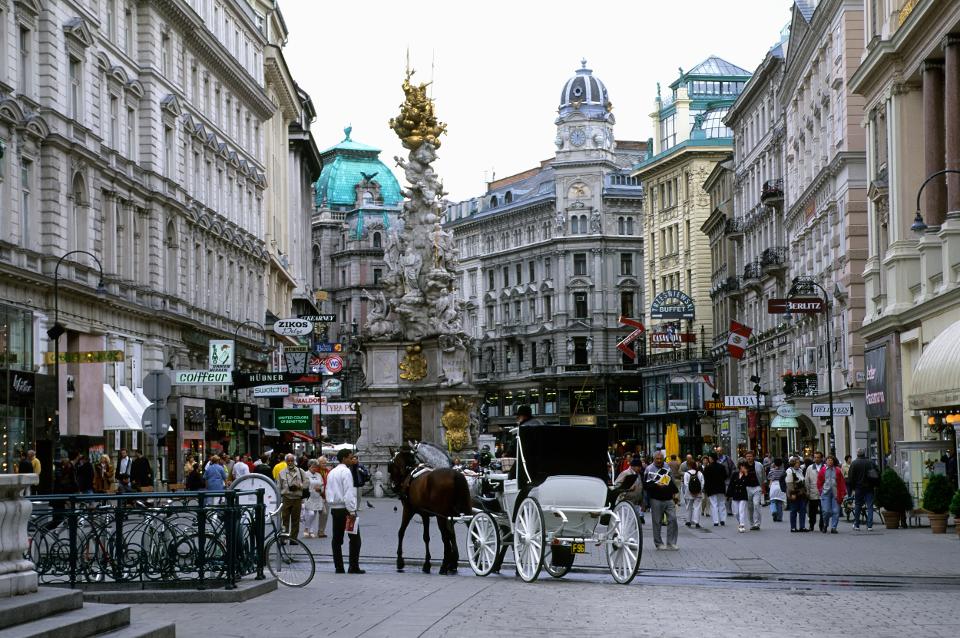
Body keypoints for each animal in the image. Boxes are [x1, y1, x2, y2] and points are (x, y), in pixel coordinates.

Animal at [384, 448, 470, 576]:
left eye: (390, 466)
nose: (393, 486)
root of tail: (455, 475)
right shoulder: (426, 515)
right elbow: (428, 537)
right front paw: (429, 563)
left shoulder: (408, 510)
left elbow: (401, 532)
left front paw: (400, 560)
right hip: (462, 512)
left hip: (441, 517)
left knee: (445, 538)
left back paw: (444, 566)